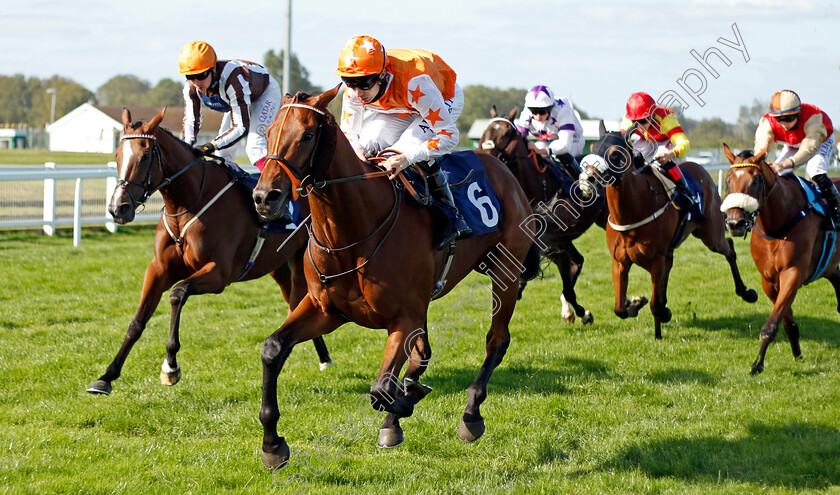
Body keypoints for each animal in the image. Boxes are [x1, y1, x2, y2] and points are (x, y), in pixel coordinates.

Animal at [87, 108, 332, 396]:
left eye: (145, 155)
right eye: (117, 154)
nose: (118, 208)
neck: (189, 202)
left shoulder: (218, 274)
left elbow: (178, 293)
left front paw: (170, 366)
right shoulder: (158, 269)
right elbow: (137, 322)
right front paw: (106, 376)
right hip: (279, 266)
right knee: (295, 303)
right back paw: (322, 356)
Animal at [249, 86, 540, 468]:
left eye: (308, 135)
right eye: (268, 132)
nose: (264, 197)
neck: (353, 232)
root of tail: (503, 170)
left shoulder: (404, 317)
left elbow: (381, 388)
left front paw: (406, 401)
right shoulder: (325, 310)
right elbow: (272, 348)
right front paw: (272, 444)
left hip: (505, 269)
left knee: (496, 340)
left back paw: (470, 414)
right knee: (423, 353)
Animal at [476, 105, 608, 326]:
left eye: (507, 133)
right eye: (485, 132)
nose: (484, 156)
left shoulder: (554, 246)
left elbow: (567, 287)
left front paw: (583, 313)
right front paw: (576, 312)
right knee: (578, 262)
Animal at [580, 123, 756, 340]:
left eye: (614, 153)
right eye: (592, 147)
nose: (586, 179)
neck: (633, 212)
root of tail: (700, 169)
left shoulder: (656, 259)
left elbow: (654, 304)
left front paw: (658, 328)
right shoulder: (619, 261)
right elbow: (620, 308)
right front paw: (637, 303)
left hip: (711, 234)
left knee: (729, 248)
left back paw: (746, 292)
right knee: (671, 264)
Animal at [720, 145, 840, 374]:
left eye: (755, 180)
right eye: (728, 180)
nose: (734, 223)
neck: (777, 224)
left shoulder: (793, 274)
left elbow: (772, 323)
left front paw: (757, 364)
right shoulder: (768, 280)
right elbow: (786, 320)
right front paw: (798, 356)